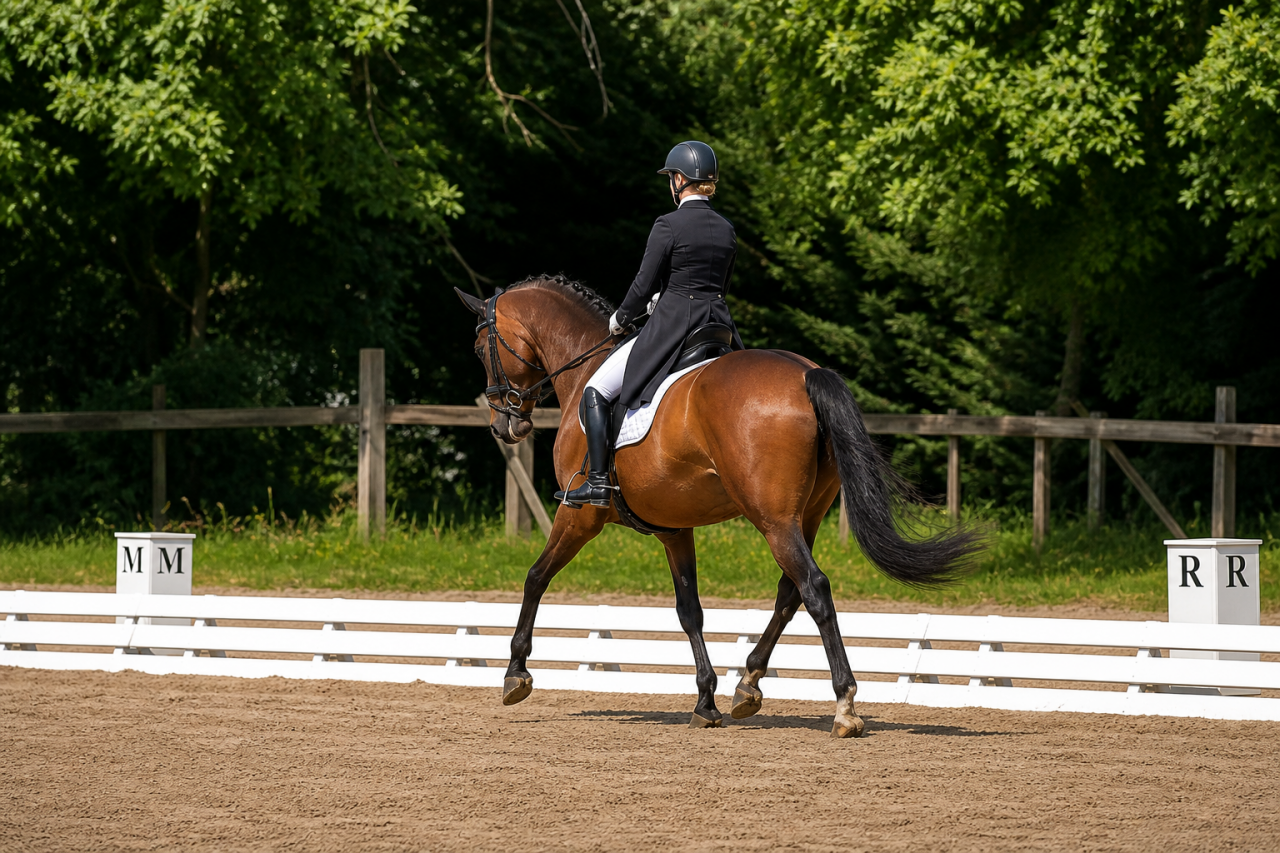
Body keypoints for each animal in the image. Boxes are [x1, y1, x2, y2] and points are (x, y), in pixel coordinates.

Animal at [455, 275, 981, 737]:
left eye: (481, 349)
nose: (504, 426)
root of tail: (805, 373)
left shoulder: (579, 515)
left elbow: (535, 577)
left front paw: (515, 673)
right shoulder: (673, 528)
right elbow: (690, 610)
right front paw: (705, 701)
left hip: (773, 520)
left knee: (813, 587)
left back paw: (844, 706)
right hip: (805, 516)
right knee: (790, 592)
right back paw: (747, 686)